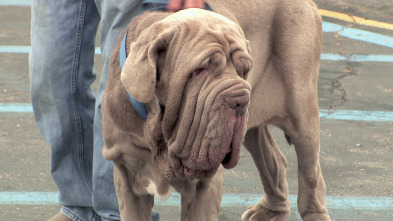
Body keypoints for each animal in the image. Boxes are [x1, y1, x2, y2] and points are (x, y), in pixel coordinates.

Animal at [100, 0, 328, 220]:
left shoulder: (205, 186)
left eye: (244, 70)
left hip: (302, 111)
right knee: (274, 158)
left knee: (312, 175)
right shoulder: (128, 177)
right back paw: (271, 211)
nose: (240, 99)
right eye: (200, 70)